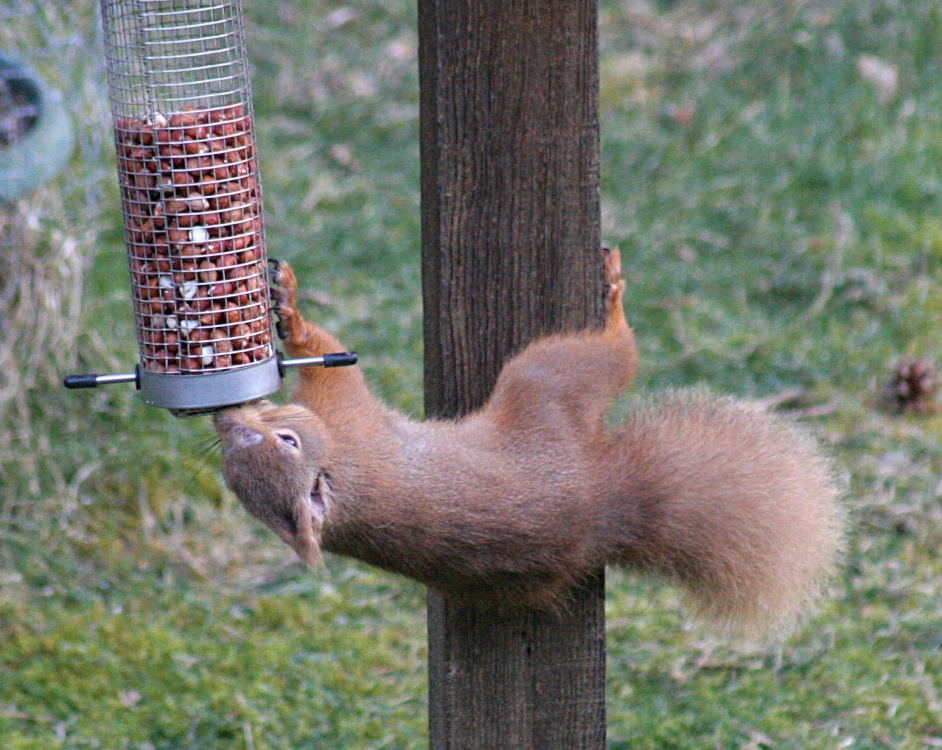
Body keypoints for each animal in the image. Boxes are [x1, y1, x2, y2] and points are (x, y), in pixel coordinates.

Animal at [214, 249, 844, 638]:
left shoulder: (350, 423)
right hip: (542, 381)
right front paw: (292, 309)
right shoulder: (351, 416)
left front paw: (286, 304)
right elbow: (327, 358)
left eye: (284, 440)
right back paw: (614, 302)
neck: (341, 471)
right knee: (615, 353)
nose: (228, 419)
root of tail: (606, 503)